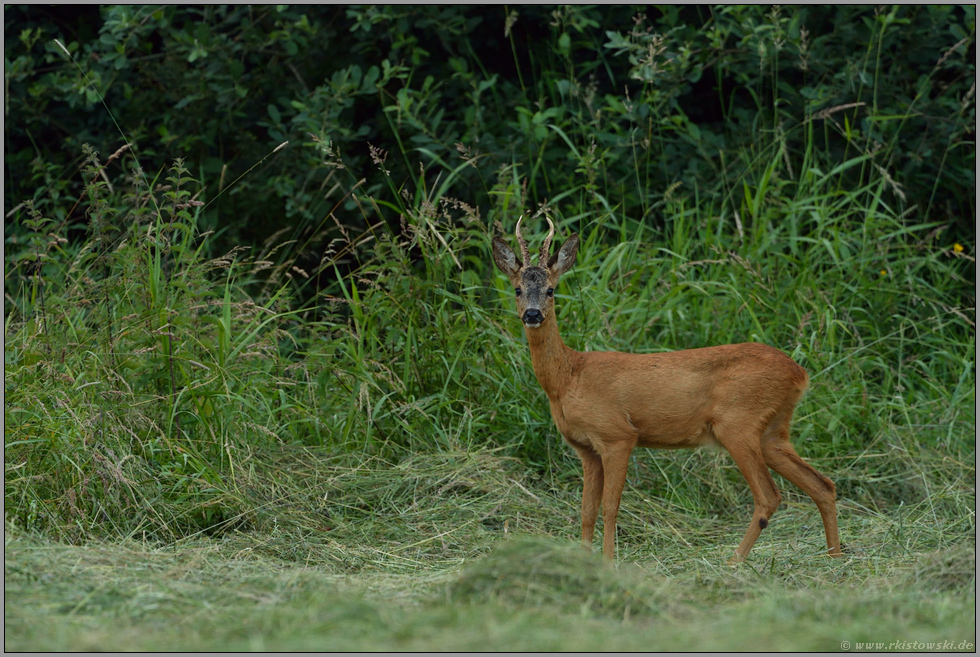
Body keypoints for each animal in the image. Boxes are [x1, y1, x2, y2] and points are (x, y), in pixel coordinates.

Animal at [490, 215, 844, 560]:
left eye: (551, 290)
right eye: (518, 289)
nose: (533, 314)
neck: (568, 378)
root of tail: (800, 373)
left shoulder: (617, 435)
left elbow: (609, 507)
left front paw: (608, 562)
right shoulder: (586, 448)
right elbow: (586, 510)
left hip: (738, 424)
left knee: (770, 496)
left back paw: (733, 562)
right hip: (772, 431)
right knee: (822, 484)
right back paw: (834, 558)